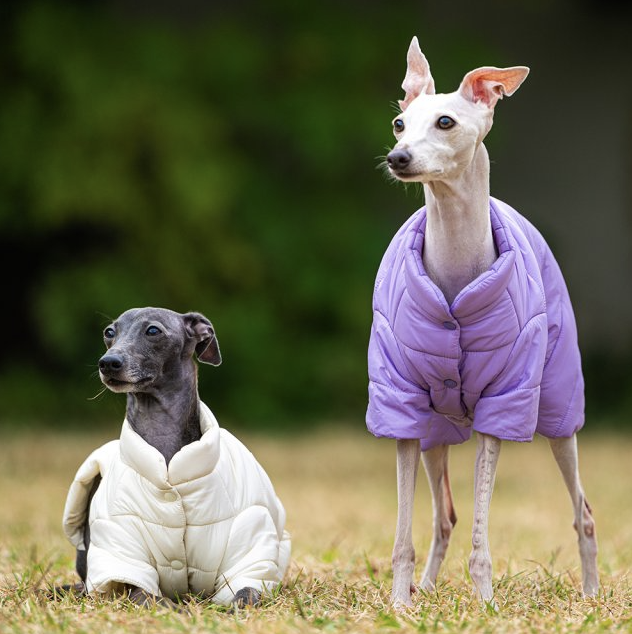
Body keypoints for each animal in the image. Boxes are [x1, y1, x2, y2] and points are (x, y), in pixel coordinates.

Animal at [59, 307, 290, 609]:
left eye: (153, 331)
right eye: (109, 332)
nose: (108, 363)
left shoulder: (247, 546)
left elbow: (247, 590)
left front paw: (240, 603)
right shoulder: (122, 548)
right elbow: (141, 592)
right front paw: (167, 606)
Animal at [366, 37, 598, 607]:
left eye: (446, 122)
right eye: (399, 123)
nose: (397, 158)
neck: (454, 270)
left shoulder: (502, 406)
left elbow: (482, 532)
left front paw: (486, 601)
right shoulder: (401, 408)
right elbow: (406, 532)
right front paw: (400, 603)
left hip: (558, 408)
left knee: (582, 511)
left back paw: (590, 593)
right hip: (435, 434)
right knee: (445, 515)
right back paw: (426, 587)